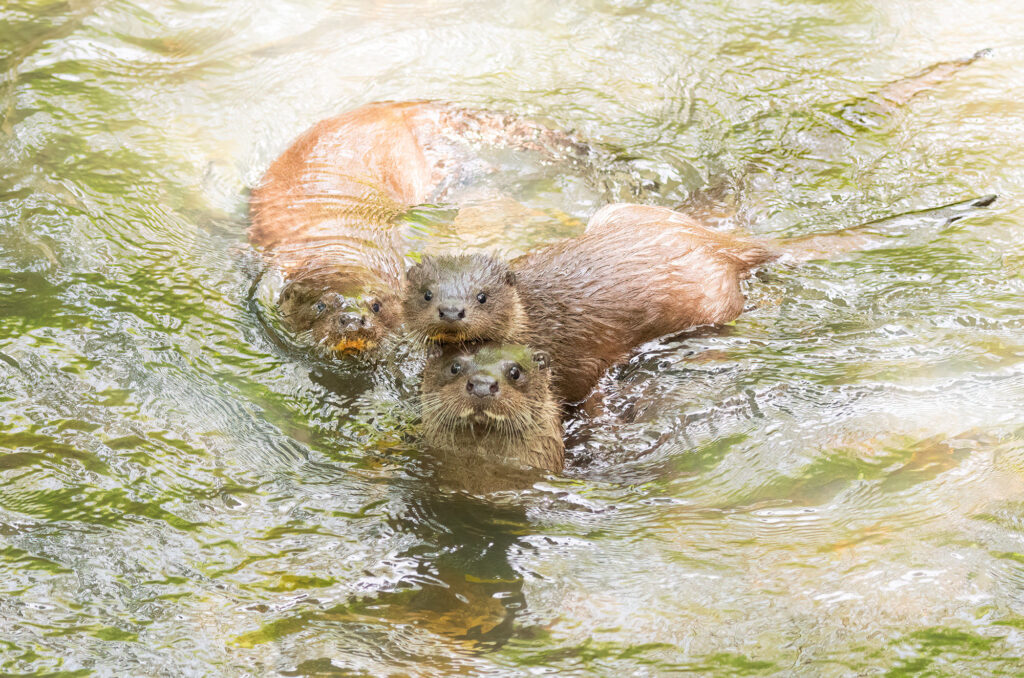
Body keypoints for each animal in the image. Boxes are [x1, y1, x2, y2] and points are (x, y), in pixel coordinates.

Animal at [403, 193, 995, 405]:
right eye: (428, 293)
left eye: (482, 296)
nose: (452, 311)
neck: (540, 321)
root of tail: (717, 243)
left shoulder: (578, 361)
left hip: (708, 304)